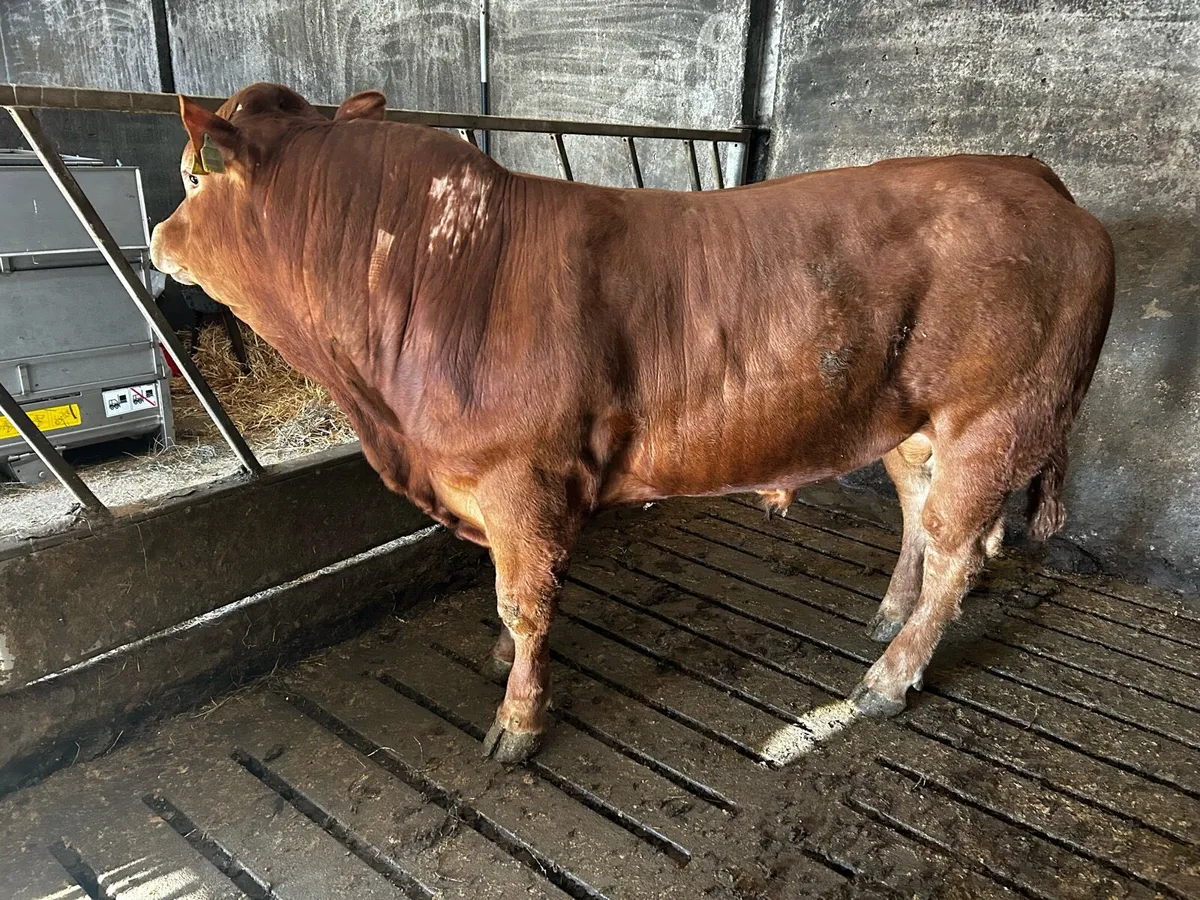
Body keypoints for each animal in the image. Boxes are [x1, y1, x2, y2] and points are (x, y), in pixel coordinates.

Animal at [150, 83, 1115, 764]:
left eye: (193, 174)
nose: (156, 236)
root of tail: (1031, 175)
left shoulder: (522, 477)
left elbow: (525, 600)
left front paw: (520, 719)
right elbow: (513, 597)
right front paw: (504, 665)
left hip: (992, 420)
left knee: (959, 551)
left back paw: (888, 676)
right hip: (912, 427)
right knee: (922, 519)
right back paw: (886, 618)